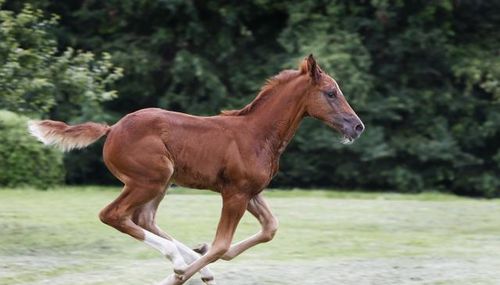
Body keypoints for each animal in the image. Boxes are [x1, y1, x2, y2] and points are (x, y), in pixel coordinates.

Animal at [28, 54, 364, 282]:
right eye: (331, 93)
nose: (357, 126)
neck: (258, 134)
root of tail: (111, 129)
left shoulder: (251, 192)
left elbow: (268, 229)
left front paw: (200, 256)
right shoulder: (235, 194)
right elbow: (222, 245)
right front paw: (177, 275)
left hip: (160, 182)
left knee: (143, 219)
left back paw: (189, 260)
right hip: (150, 179)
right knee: (113, 215)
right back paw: (178, 263)